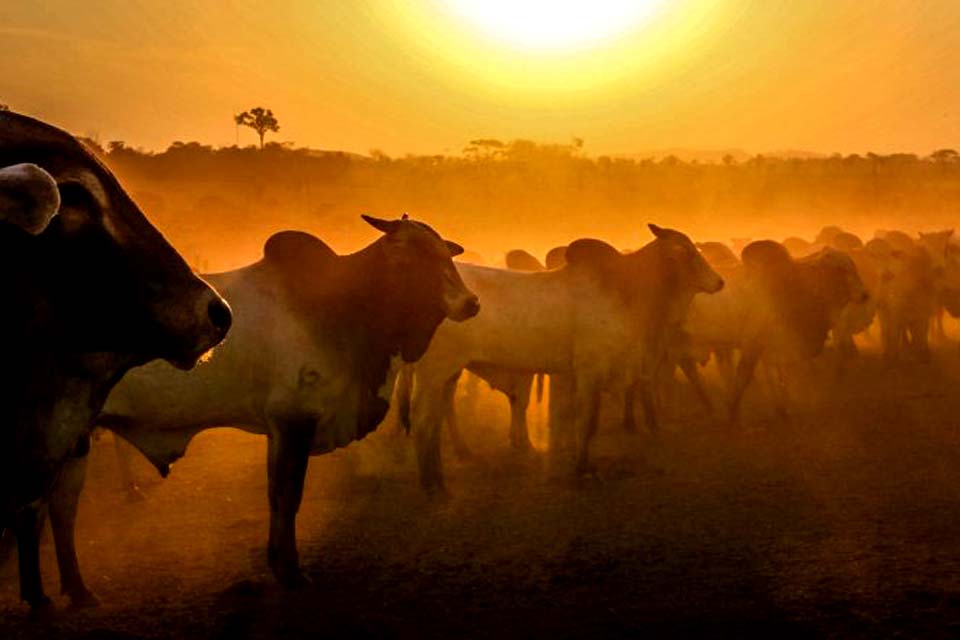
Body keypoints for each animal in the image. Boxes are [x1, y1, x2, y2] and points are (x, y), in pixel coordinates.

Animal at [47, 216, 478, 596]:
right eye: (413, 254)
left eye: (445, 253)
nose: (471, 303)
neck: (341, 305)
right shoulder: (294, 419)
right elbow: (288, 495)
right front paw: (291, 572)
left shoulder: (277, 427)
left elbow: (274, 495)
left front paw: (278, 563)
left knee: (60, 507)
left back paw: (77, 590)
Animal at [402, 225, 724, 490]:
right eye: (689, 252)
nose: (719, 281)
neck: (626, 290)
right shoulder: (590, 370)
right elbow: (588, 421)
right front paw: (583, 469)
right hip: (434, 370)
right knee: (423, 419)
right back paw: (432, 483)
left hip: (448, 373)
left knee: (438, 417)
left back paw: (446, 467)